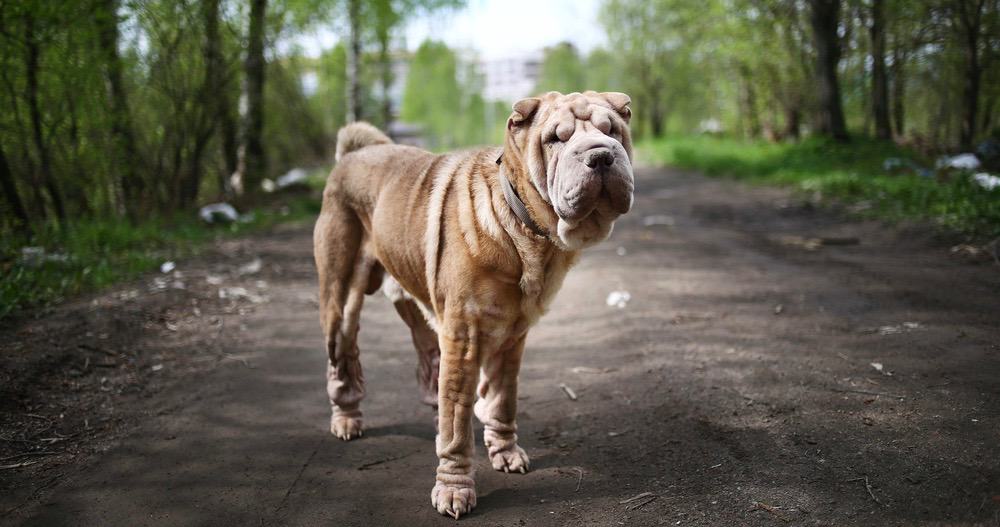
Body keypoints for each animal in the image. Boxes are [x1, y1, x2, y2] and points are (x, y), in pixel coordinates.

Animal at [314, 91, 632, 520]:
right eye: (556, 139)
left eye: (612, 130)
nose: (600, 156)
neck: (522, 226)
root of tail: (353, 154)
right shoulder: (464, 334)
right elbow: (457, 424)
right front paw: (453, 488)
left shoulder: (512, 335)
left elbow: (502, 399)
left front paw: (505, 451)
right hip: (341, 296)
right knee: (343, 356)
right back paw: (347, 418)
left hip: (415, 298)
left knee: (427, 354)